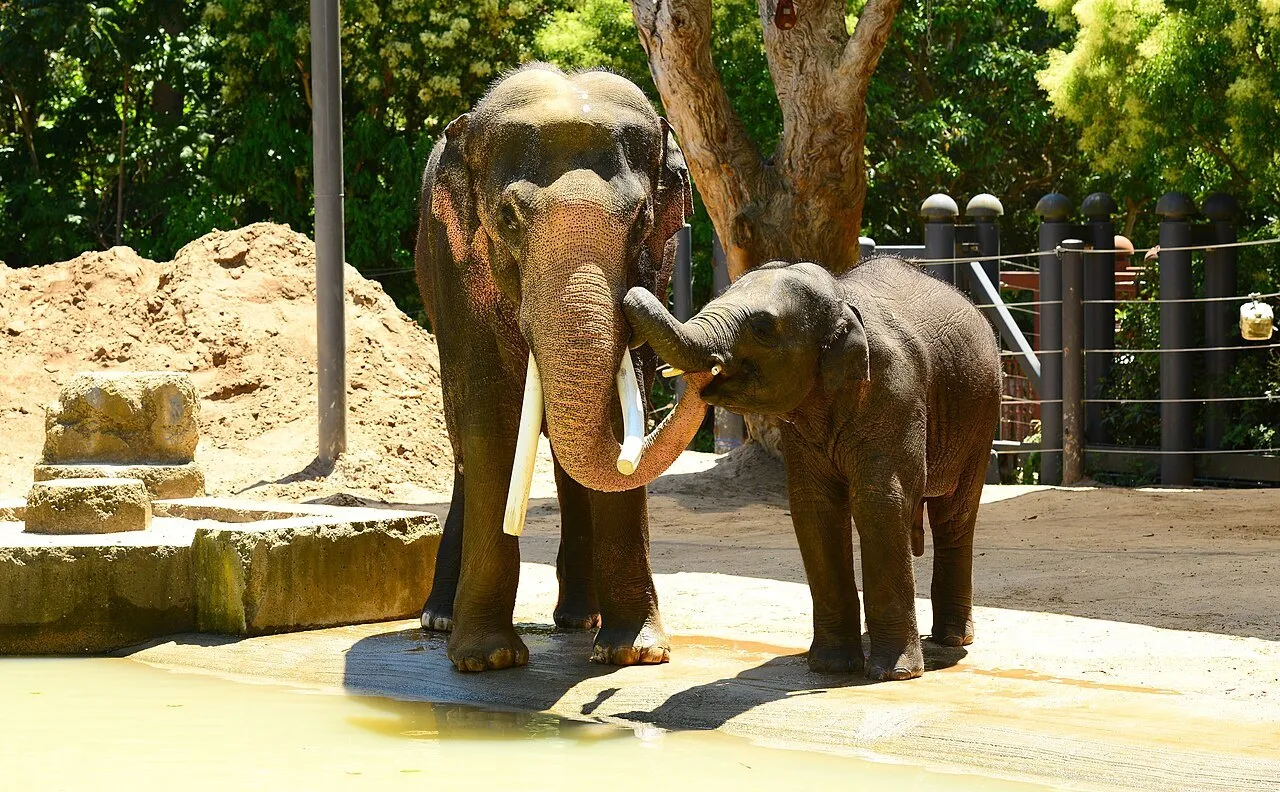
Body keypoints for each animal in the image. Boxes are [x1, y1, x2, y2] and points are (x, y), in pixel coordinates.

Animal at [414, 64, 710, 672]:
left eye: (642, 220)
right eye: (507, 218)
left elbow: (621, 417)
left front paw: (636, 653)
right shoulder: (458, 274)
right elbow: (489, 424)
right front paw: (485, 661)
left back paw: (580, 619)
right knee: (462, 443)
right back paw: (439, 620)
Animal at [624, 257, 1001, 680]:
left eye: (762, 327)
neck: (841, 299)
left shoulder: (895, 392)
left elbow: (880, 501)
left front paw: (894, 675)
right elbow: (814, 508)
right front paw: (830, 667)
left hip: (982, 412)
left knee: (955, 513)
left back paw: (952, 639)